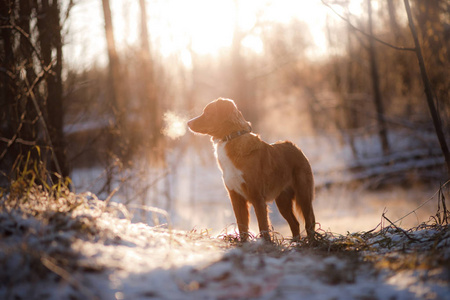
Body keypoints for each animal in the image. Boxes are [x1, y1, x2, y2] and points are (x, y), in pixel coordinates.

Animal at [188, 98, 314, 241]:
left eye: (207, 113)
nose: (188, 123)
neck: (231, 137)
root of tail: (295, 147)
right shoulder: (236, 197)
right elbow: (242, 226)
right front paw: (243, 243)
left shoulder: (257, 197)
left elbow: (263, 226)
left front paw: (266, 243)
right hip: (283, 201)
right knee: (295, 223)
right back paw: (296, 243)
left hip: (303, 195)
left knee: (309, 222)